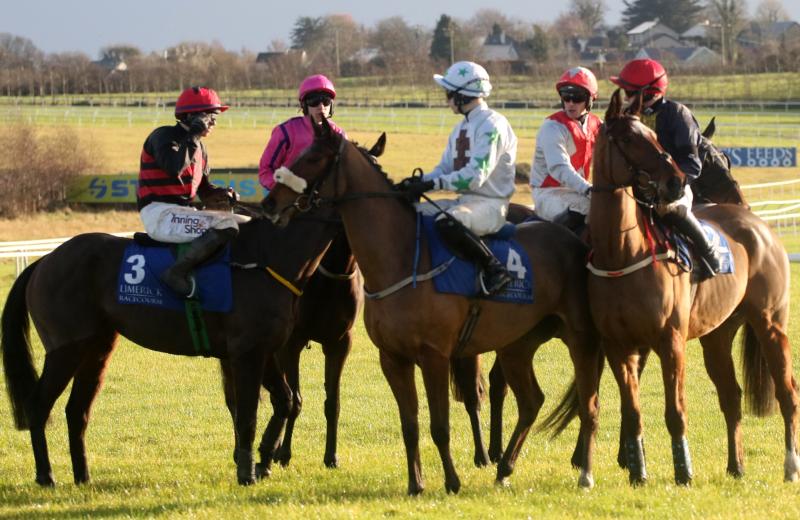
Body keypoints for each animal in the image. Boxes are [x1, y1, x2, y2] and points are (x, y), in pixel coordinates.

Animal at [1, 209, 345, 486]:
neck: (269, 258)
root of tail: (44, 261)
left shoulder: (265, 350)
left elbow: (284, 401)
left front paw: (265, 459)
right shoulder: (247, 353)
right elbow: (249, 413)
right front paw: (249, 471)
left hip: (96, 348)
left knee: (77, 411)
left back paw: (83, 476)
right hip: (65, 349)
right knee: (38, 405)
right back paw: (46, 476)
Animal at [262, 118, 603, 494]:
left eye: (312, 158)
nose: (269, 203)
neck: (401, 259)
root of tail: (573, 241)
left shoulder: (434, 355)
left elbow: (439, 425)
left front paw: (451, 481)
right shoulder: (392, 358)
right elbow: (410, 424)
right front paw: (416, 484)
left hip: (581, 340)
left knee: (589, 404)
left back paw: (585, 472)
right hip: (517, 345)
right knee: (531, 402)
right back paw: (505, 468)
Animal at [580, 89, 799, 485]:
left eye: (655, 137)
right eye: (630, 139)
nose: (676, 180)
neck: (622, 253)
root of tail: (757, 222)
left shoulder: (671, 341)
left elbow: (675, 411)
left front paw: (683, 472)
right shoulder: (619, 345)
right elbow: (632, 412)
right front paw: (638, 473)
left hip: (770, 323)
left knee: (788, 393)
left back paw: (791, 466)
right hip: (717, 334)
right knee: (731, 396)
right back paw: (736, 465)